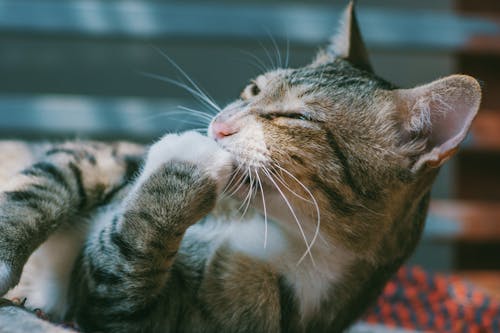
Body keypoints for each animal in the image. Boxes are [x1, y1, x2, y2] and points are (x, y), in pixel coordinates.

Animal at [0, 2, 480, 332]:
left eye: (297, 118)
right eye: (252, 89)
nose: (219, 126)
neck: (272, 226)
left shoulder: (135, 313)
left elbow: (123, 262)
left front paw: (188, 165)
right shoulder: (109, 154)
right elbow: (49, 183)